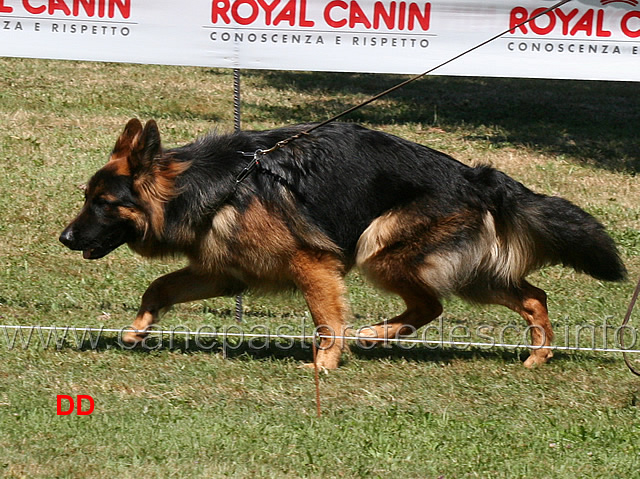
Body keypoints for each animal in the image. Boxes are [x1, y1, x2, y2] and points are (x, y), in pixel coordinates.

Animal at [60, 118, 624, 370]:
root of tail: (478, 177)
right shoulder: (223, 271)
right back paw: (535, 355)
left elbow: (326, 319)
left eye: (102, 203)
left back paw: (374, 335)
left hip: (381, 246)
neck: (213, 183)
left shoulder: (313, 263)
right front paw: (137, 330)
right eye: (86, 197)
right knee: (528, 296)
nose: (65, 238)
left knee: (434, 303)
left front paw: (325, 364)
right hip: (467, 271)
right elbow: (158, 287)